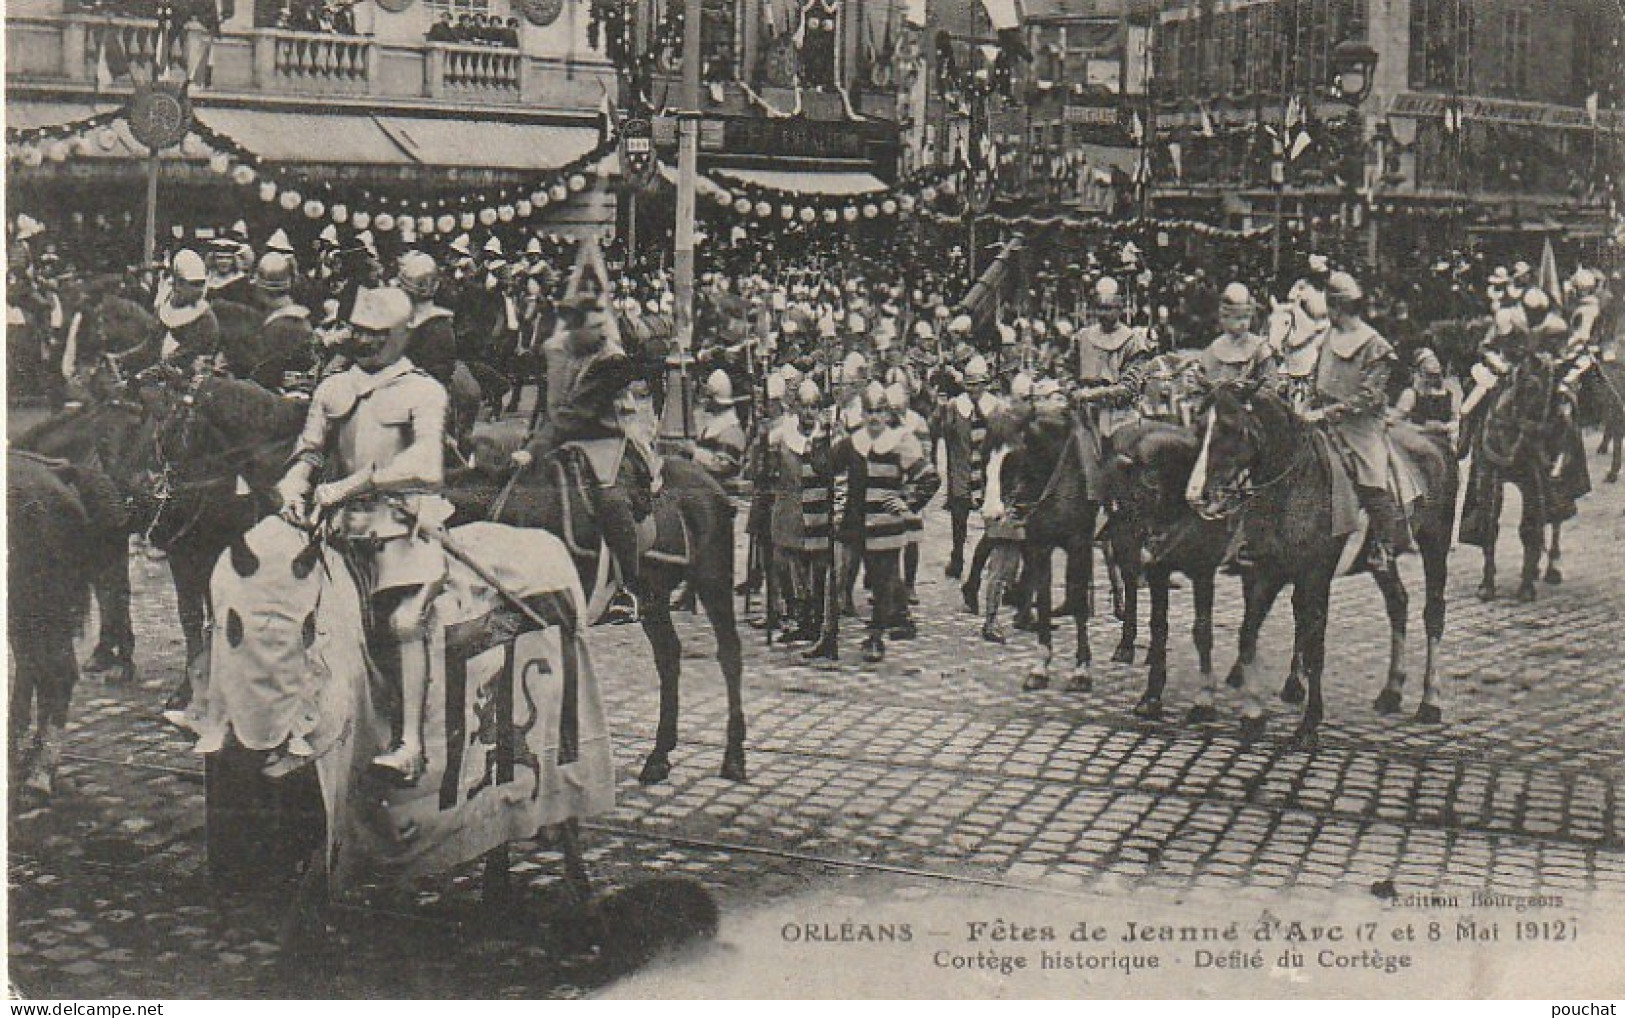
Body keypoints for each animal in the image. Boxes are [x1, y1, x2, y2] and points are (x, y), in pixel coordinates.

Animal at [464, 422, 747, 780]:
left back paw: (734, 756)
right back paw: (659, 755)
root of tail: (714, 485)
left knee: (729, 654)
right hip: (655, 599)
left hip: (714, 582)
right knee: (669, 656)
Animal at [1176, 382, 1456, 744]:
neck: (1294, 485)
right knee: (1398, 602)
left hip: (1436, 544)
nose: (1197, 496)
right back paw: (1391, 691)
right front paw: (1253, 713)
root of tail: (1435, 438)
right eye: (1199, 428)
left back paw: (1430, 701)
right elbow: (1248, 634)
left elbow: (1314, 646)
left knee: (1433, 614)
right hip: (1382, 560)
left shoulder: (1315, 575)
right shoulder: (1266, 572)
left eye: (1230, 427)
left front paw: (1309, 722)